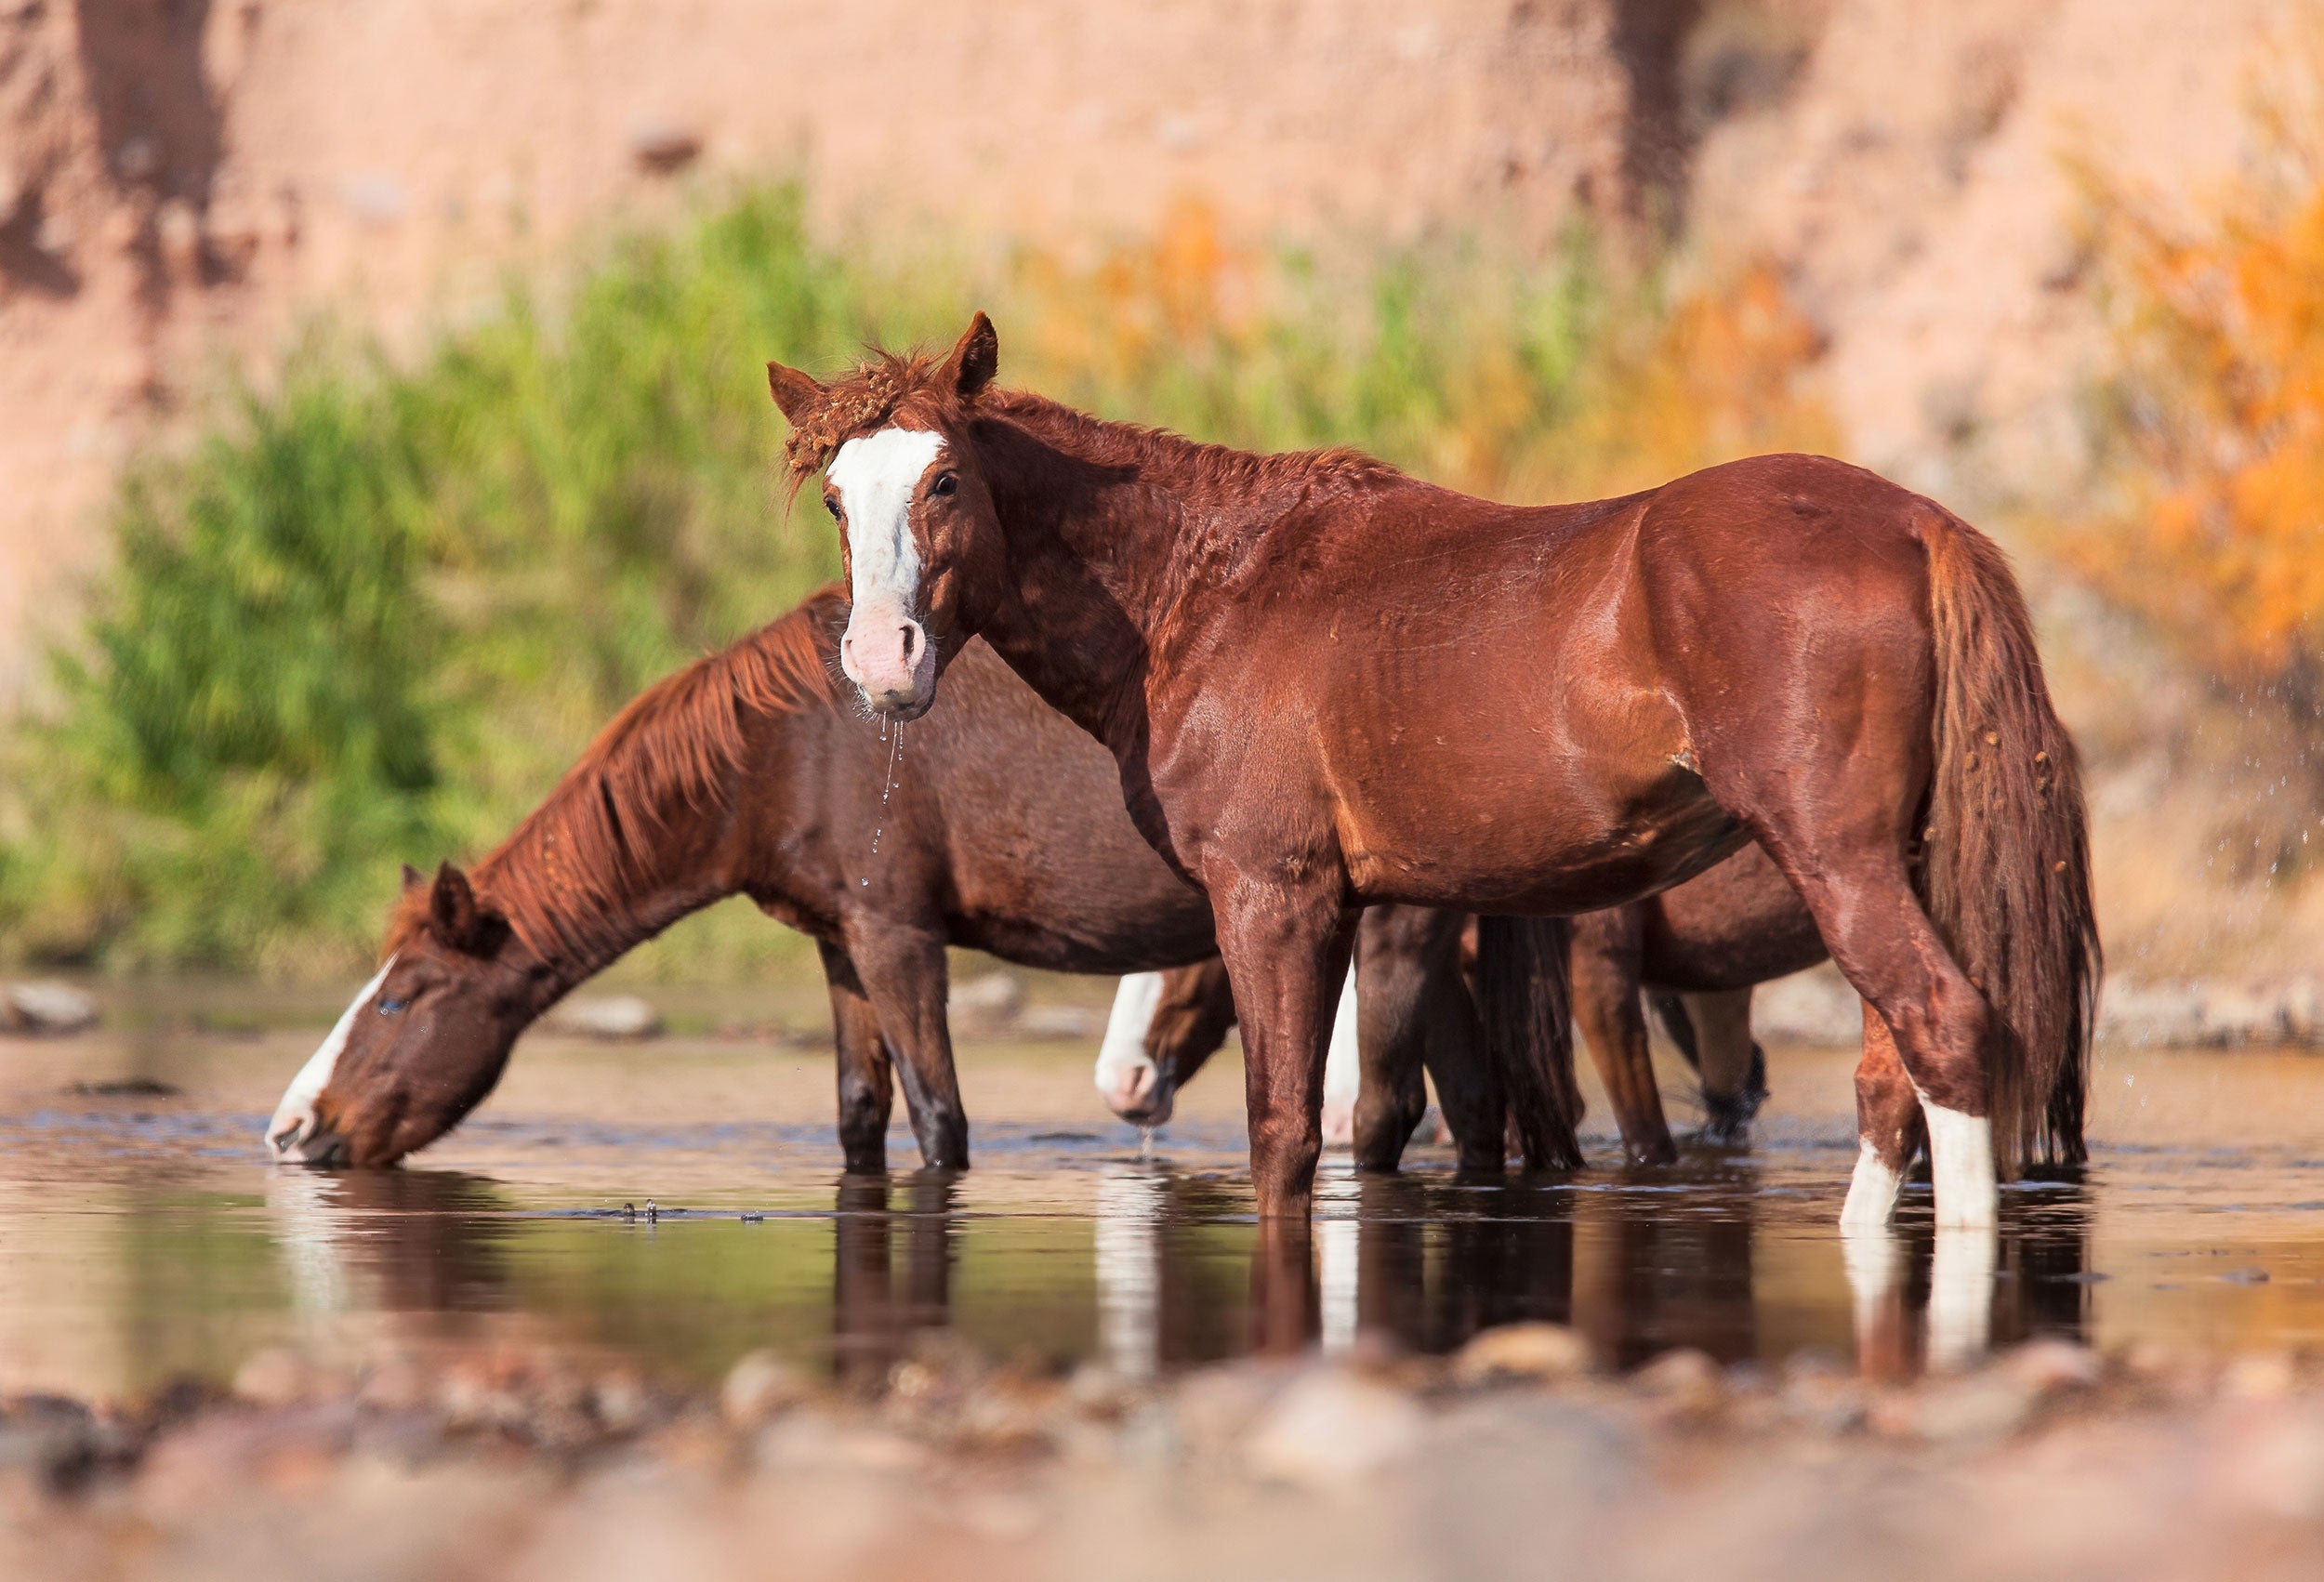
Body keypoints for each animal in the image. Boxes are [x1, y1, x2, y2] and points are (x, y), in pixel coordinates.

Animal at [772, 309, 2101, 1217]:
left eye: (946, 479)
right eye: (836, 500)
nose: (881, 660)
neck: (1210, 586)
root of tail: (1915, 522)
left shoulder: (1276, 895)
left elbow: (1287, 1132)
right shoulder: (1386, 905)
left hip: (1840, 861)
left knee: (1945, 1034)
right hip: (1893, 867)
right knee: (1896, 1075)